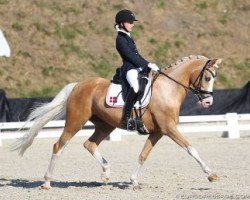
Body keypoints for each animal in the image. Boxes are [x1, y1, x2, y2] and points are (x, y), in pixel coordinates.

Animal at [11, 54, 223, 189]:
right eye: (206, 77)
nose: (208, 102)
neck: (168, 89)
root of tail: (78, 85)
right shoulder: (169, 128)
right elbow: (191, 149)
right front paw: (211, 174)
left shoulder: (158, 132)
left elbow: (143, 155)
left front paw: (134, 181)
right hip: (76, 121)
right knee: (59, 145)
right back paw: (46, 182)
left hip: (106, 125)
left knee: (89, 144)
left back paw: (105, 172)